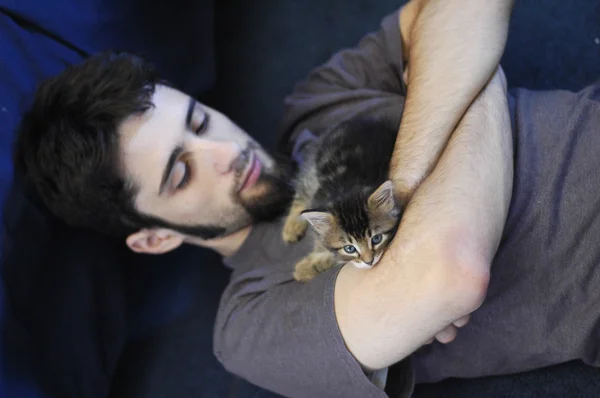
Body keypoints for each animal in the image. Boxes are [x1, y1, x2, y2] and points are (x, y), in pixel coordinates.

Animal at [282, 116, 404, 282]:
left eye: (376, 239)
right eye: (349, 248)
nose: (369, 261)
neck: (348, 188)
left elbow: (333, 254)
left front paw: (306, 267)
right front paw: (306, 266)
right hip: (313, 170)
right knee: (302, 194)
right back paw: (291, 229)